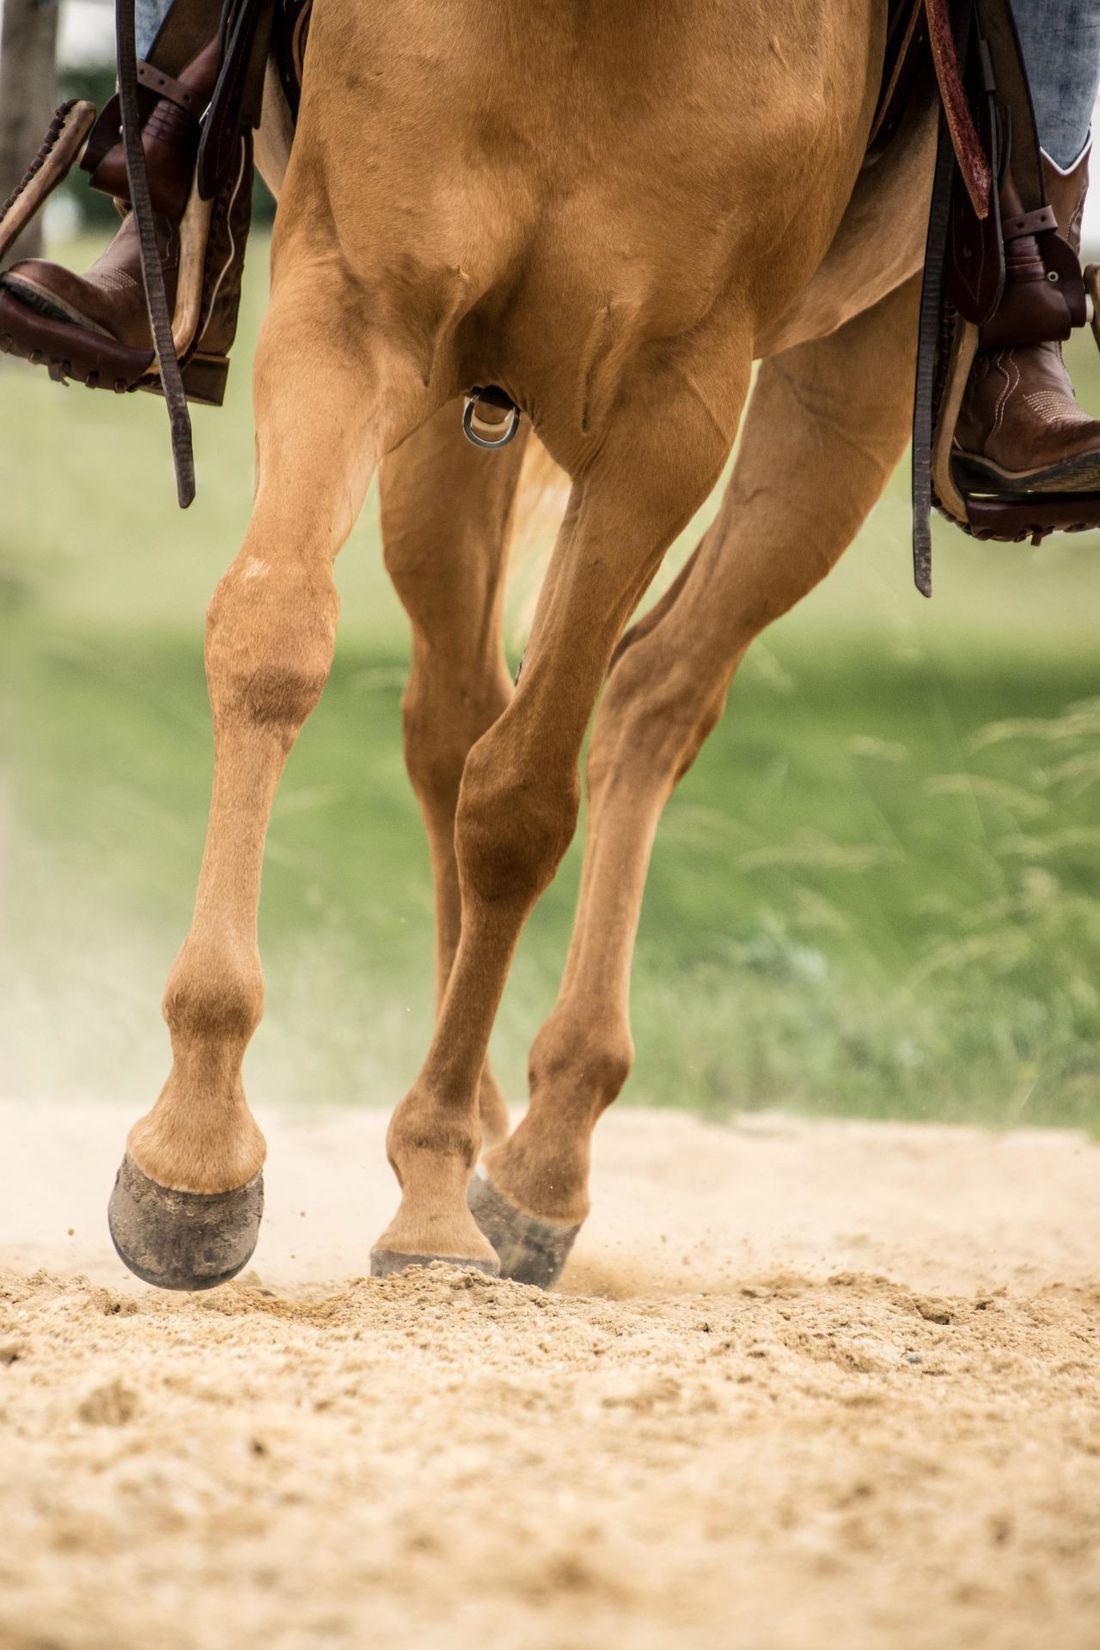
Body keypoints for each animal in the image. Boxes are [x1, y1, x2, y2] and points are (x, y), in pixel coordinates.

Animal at [105, 0, 936, 1287]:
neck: (589, 26)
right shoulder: (351, 304)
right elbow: (274, 639)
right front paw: (195, 1152)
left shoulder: (667, 416)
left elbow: (521, 804)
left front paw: (436, 1189)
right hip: (451, 423)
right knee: (455, 717)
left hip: (855, 380)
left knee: (651, 696)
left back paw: (540, 1154)